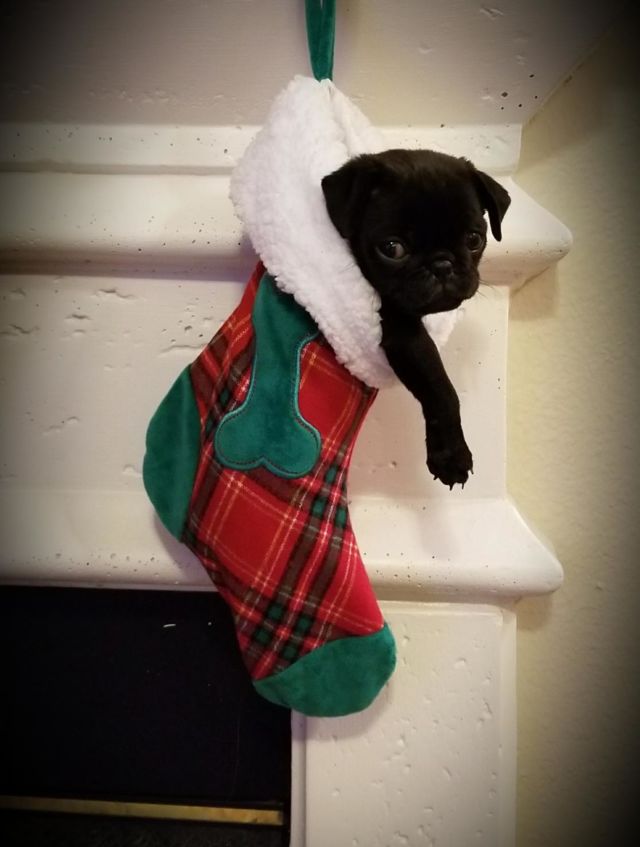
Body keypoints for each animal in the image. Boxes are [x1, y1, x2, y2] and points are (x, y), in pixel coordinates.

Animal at [322, 149, 510, 488]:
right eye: (392, 248)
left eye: (474, 240)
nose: (443, 265)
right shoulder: (403, 333)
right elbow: (441, 390)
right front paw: (451, 455)